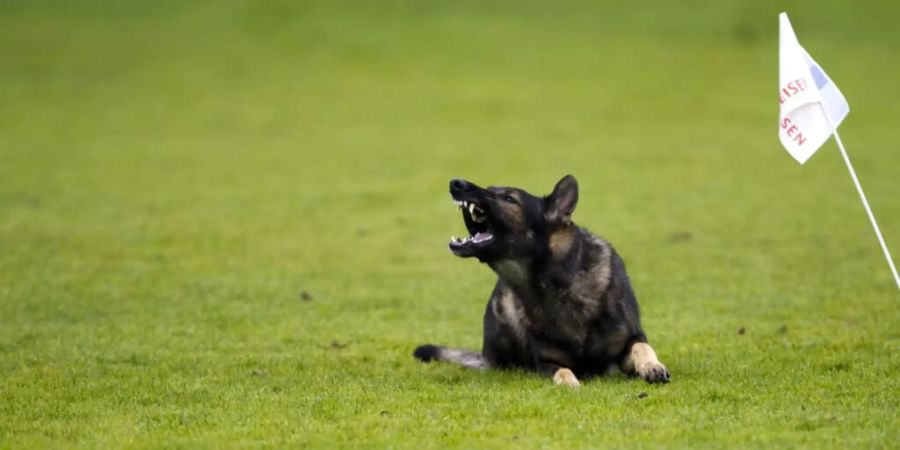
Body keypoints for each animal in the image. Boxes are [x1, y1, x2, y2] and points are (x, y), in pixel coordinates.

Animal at [414, 176, 668, 386]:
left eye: (508, 198)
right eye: (491, 189)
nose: (455, 183)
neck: (558, 286)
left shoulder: (628, 343)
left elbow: (641, 346)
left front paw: (652, 367)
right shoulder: (545, 363)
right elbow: (562, 371)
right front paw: (570, 382)